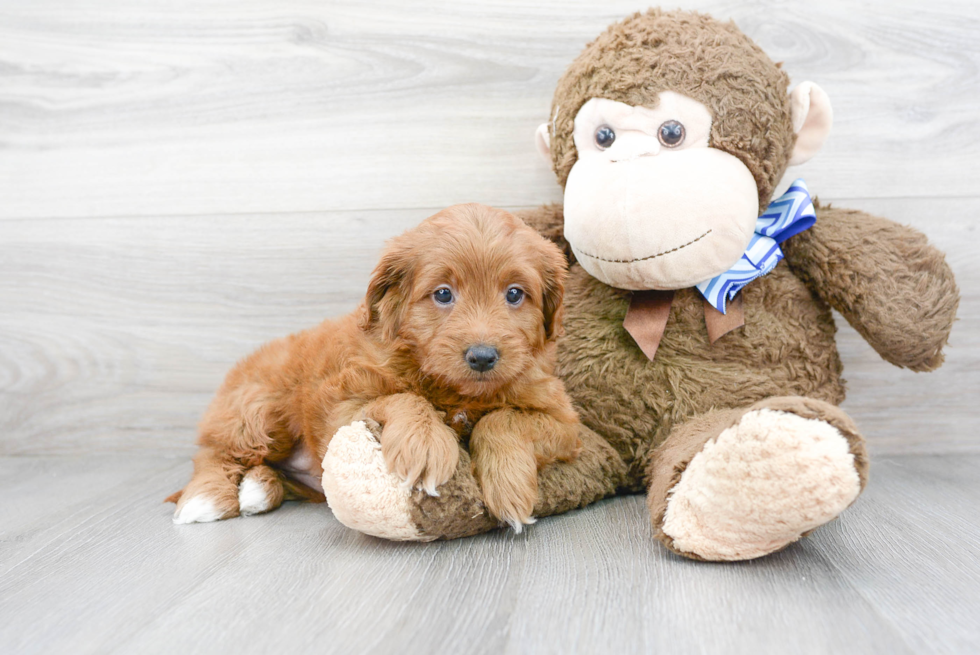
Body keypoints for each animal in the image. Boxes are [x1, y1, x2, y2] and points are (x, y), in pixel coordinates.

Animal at [168, 204, 580, 532]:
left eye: (514, 294)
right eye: (443, 294)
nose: (482, 356)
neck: (455, 390)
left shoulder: (566, 423)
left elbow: (503, 419)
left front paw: (508, 486)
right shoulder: (339, 406)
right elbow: (403, 397)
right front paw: (425, 444)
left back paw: (258, 489)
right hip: (256, 411)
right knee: (215, 454)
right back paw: (206, 499)